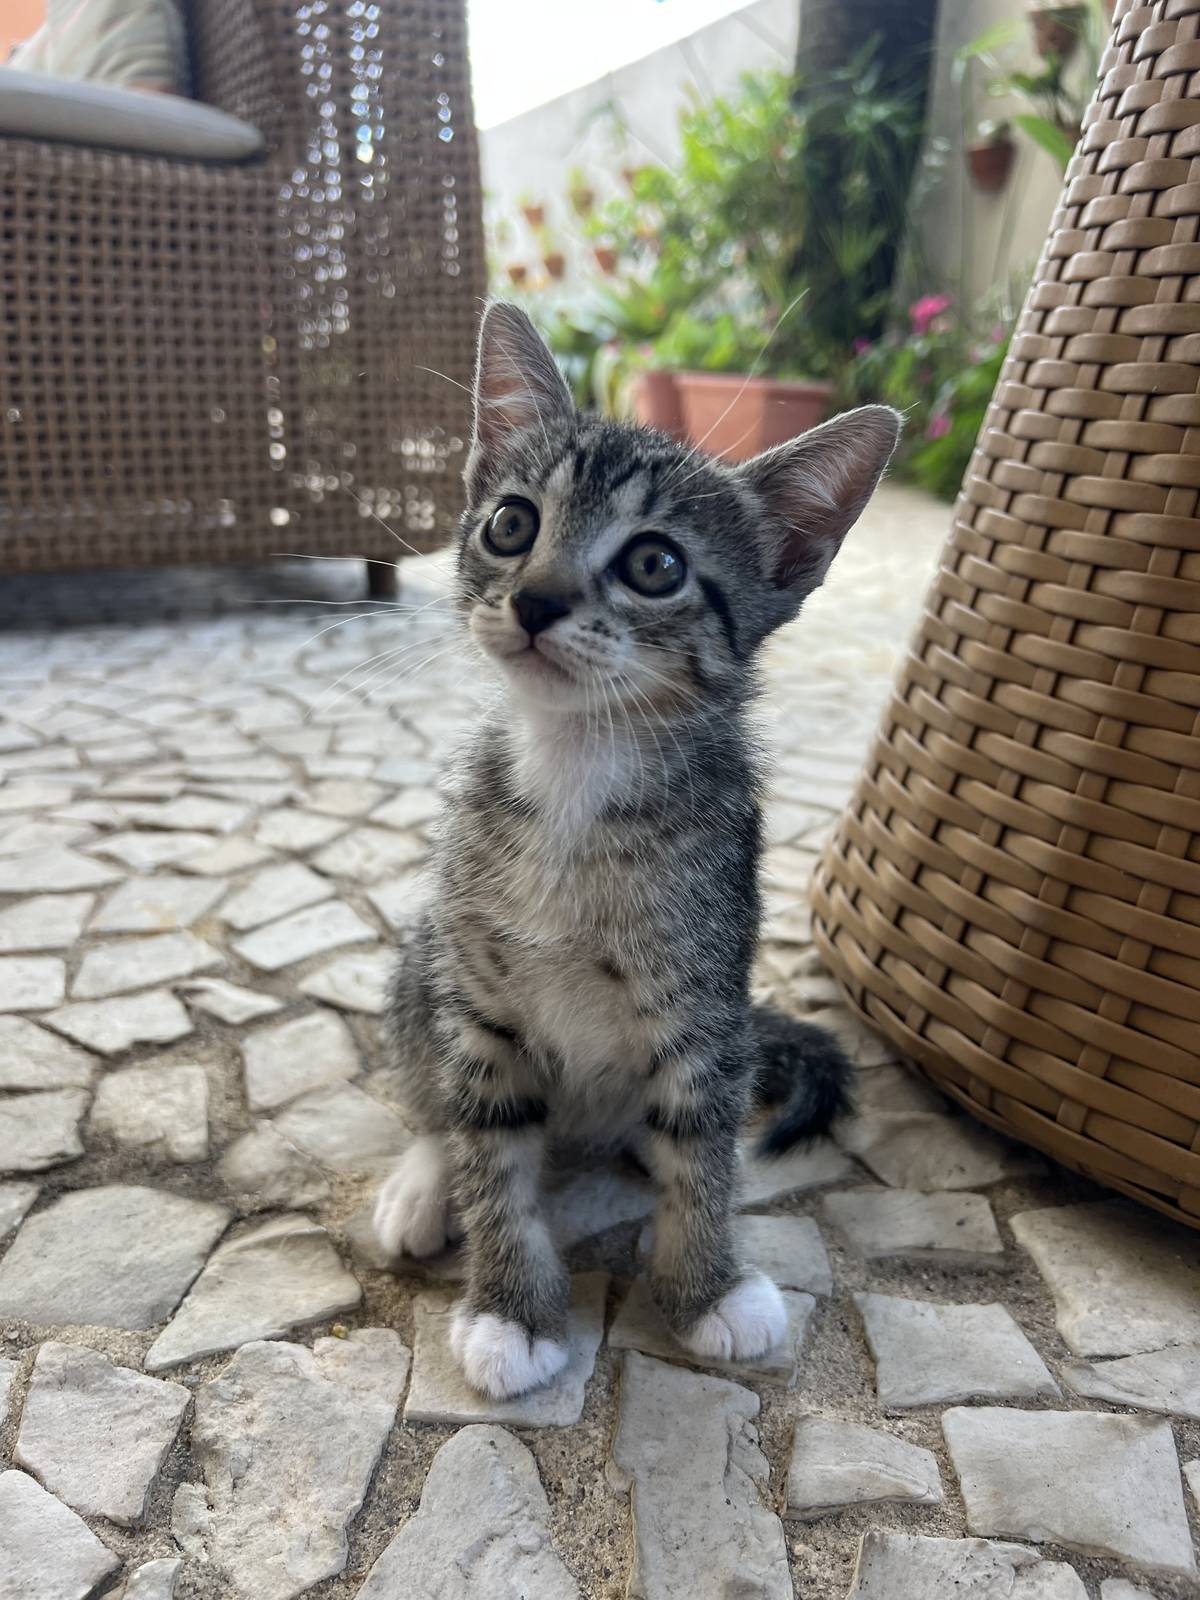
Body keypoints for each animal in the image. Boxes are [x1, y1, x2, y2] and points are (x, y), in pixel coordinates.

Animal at [372, 301, 899, 1400]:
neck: (578, 777)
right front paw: (509, 1308)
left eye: (656, 564)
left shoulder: (702, 1002)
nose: (535, 600)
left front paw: (706, 1286)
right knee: (435, 1095)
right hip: (424, 958)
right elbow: (491, 1148)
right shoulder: (478, 995)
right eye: (511, 523)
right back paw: (423, 1184)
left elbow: (702, 1150)